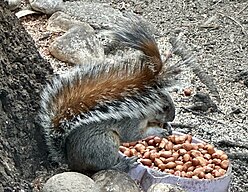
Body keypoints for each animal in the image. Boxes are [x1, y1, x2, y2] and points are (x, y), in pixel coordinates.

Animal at [39, 15, 182, 173]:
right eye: (164, 107)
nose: (172, 117)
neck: (142, 109)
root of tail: (72, 164)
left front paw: (168, 127)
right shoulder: (130, 122)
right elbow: (135, 135)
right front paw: (159, 131)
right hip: (105, 143)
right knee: (103, 167)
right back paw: (124, 164)